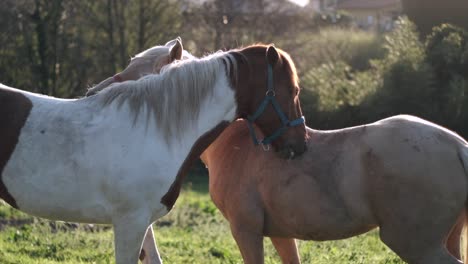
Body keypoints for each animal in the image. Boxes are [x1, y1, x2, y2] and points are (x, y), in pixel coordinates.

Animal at [203, 116, 468, 262]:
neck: (238, 146)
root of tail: (457, 145)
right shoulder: (281, 233)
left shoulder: (246, 231)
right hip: (449, 238)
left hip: (417, 246)